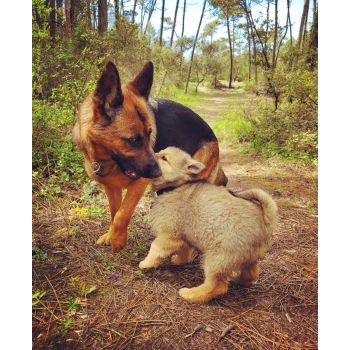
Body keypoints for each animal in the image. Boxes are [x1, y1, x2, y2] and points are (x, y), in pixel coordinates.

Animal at [72, 60, 228, 252]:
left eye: (150, 133)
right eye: (133, 140)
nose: (157, 173)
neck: (107, 158)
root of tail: (212, 136)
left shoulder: (139, 184)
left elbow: (123, 213)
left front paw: (117, 240)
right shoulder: (112, 188)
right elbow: (115, 212)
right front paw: (112, 236)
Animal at [138, 148, 278, 304]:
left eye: (164, 158)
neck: (174, 187)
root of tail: (266, 220)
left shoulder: (169, 234)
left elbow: (154, 248)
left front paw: (146, 263)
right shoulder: (184, 237)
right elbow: (184, 252)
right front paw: (179, 260)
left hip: (217, 259)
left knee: (217, 286)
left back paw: (191, 294)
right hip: (246, 258)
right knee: (251, 273)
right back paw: (238, 279)